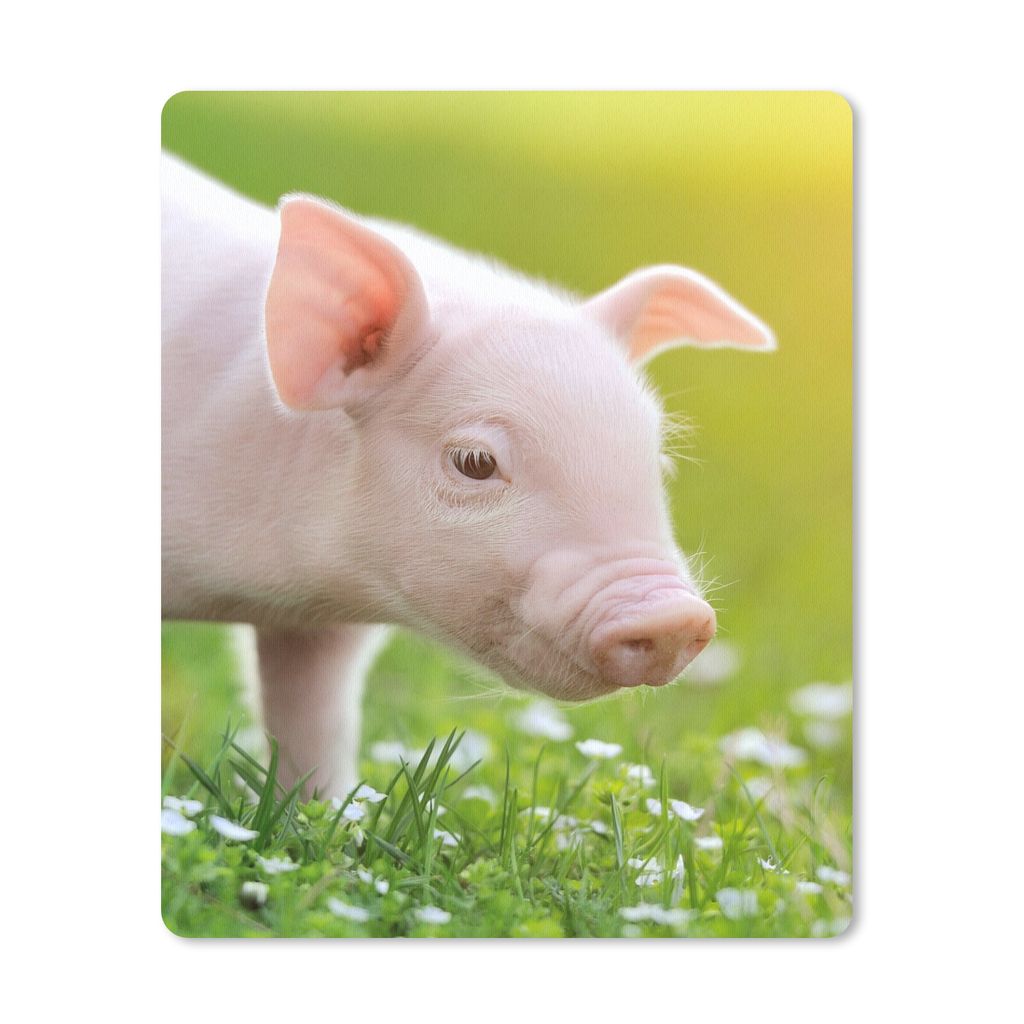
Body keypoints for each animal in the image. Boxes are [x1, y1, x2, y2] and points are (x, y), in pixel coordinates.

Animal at [162, 154, 774, 798]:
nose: (673, 616)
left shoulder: (317, 629)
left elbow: (313, 722)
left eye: (657, 461)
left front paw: (324, 809)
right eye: (475, 463)